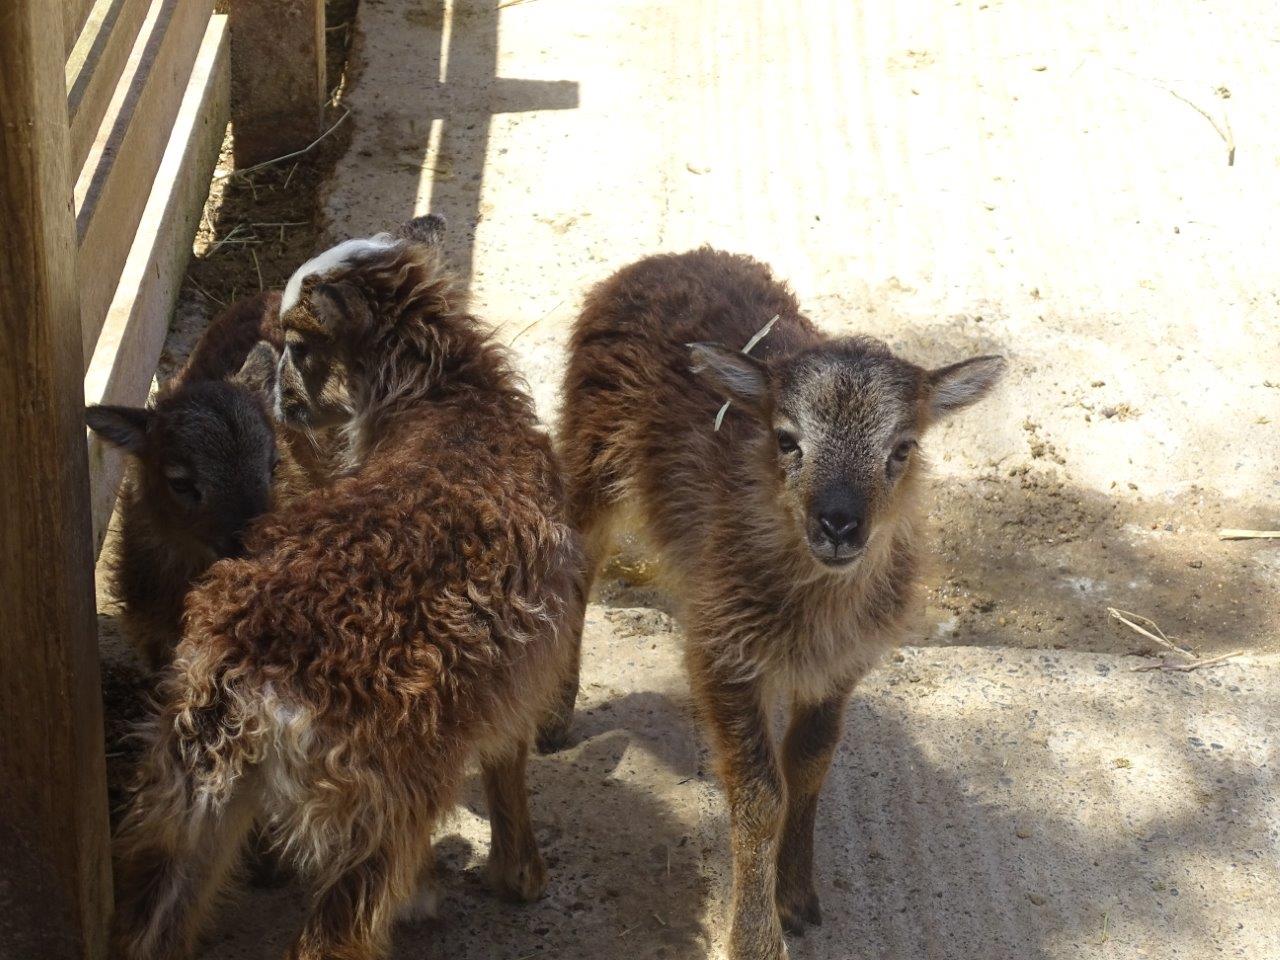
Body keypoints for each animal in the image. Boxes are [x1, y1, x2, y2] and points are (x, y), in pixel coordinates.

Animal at [111, 219, 585, 960]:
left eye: (300, 348)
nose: (275, 397)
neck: (454, 410)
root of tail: (244, 672)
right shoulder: (522, 670)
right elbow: (509, 764)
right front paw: (521, 878)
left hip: (187, 785)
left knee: (151, 914)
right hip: (377, 804)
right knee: (335, 936)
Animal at [548, 247, 1005, 960]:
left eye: (902, 448)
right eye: (787, 440)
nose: (839, 524)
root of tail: (669, 255)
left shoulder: (841, 666)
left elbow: (809, 765)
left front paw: (796, 898)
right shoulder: (722, 652)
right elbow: (759, 794)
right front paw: (756, 937)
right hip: (592, 450)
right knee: (575, 563)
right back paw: (553, 717)